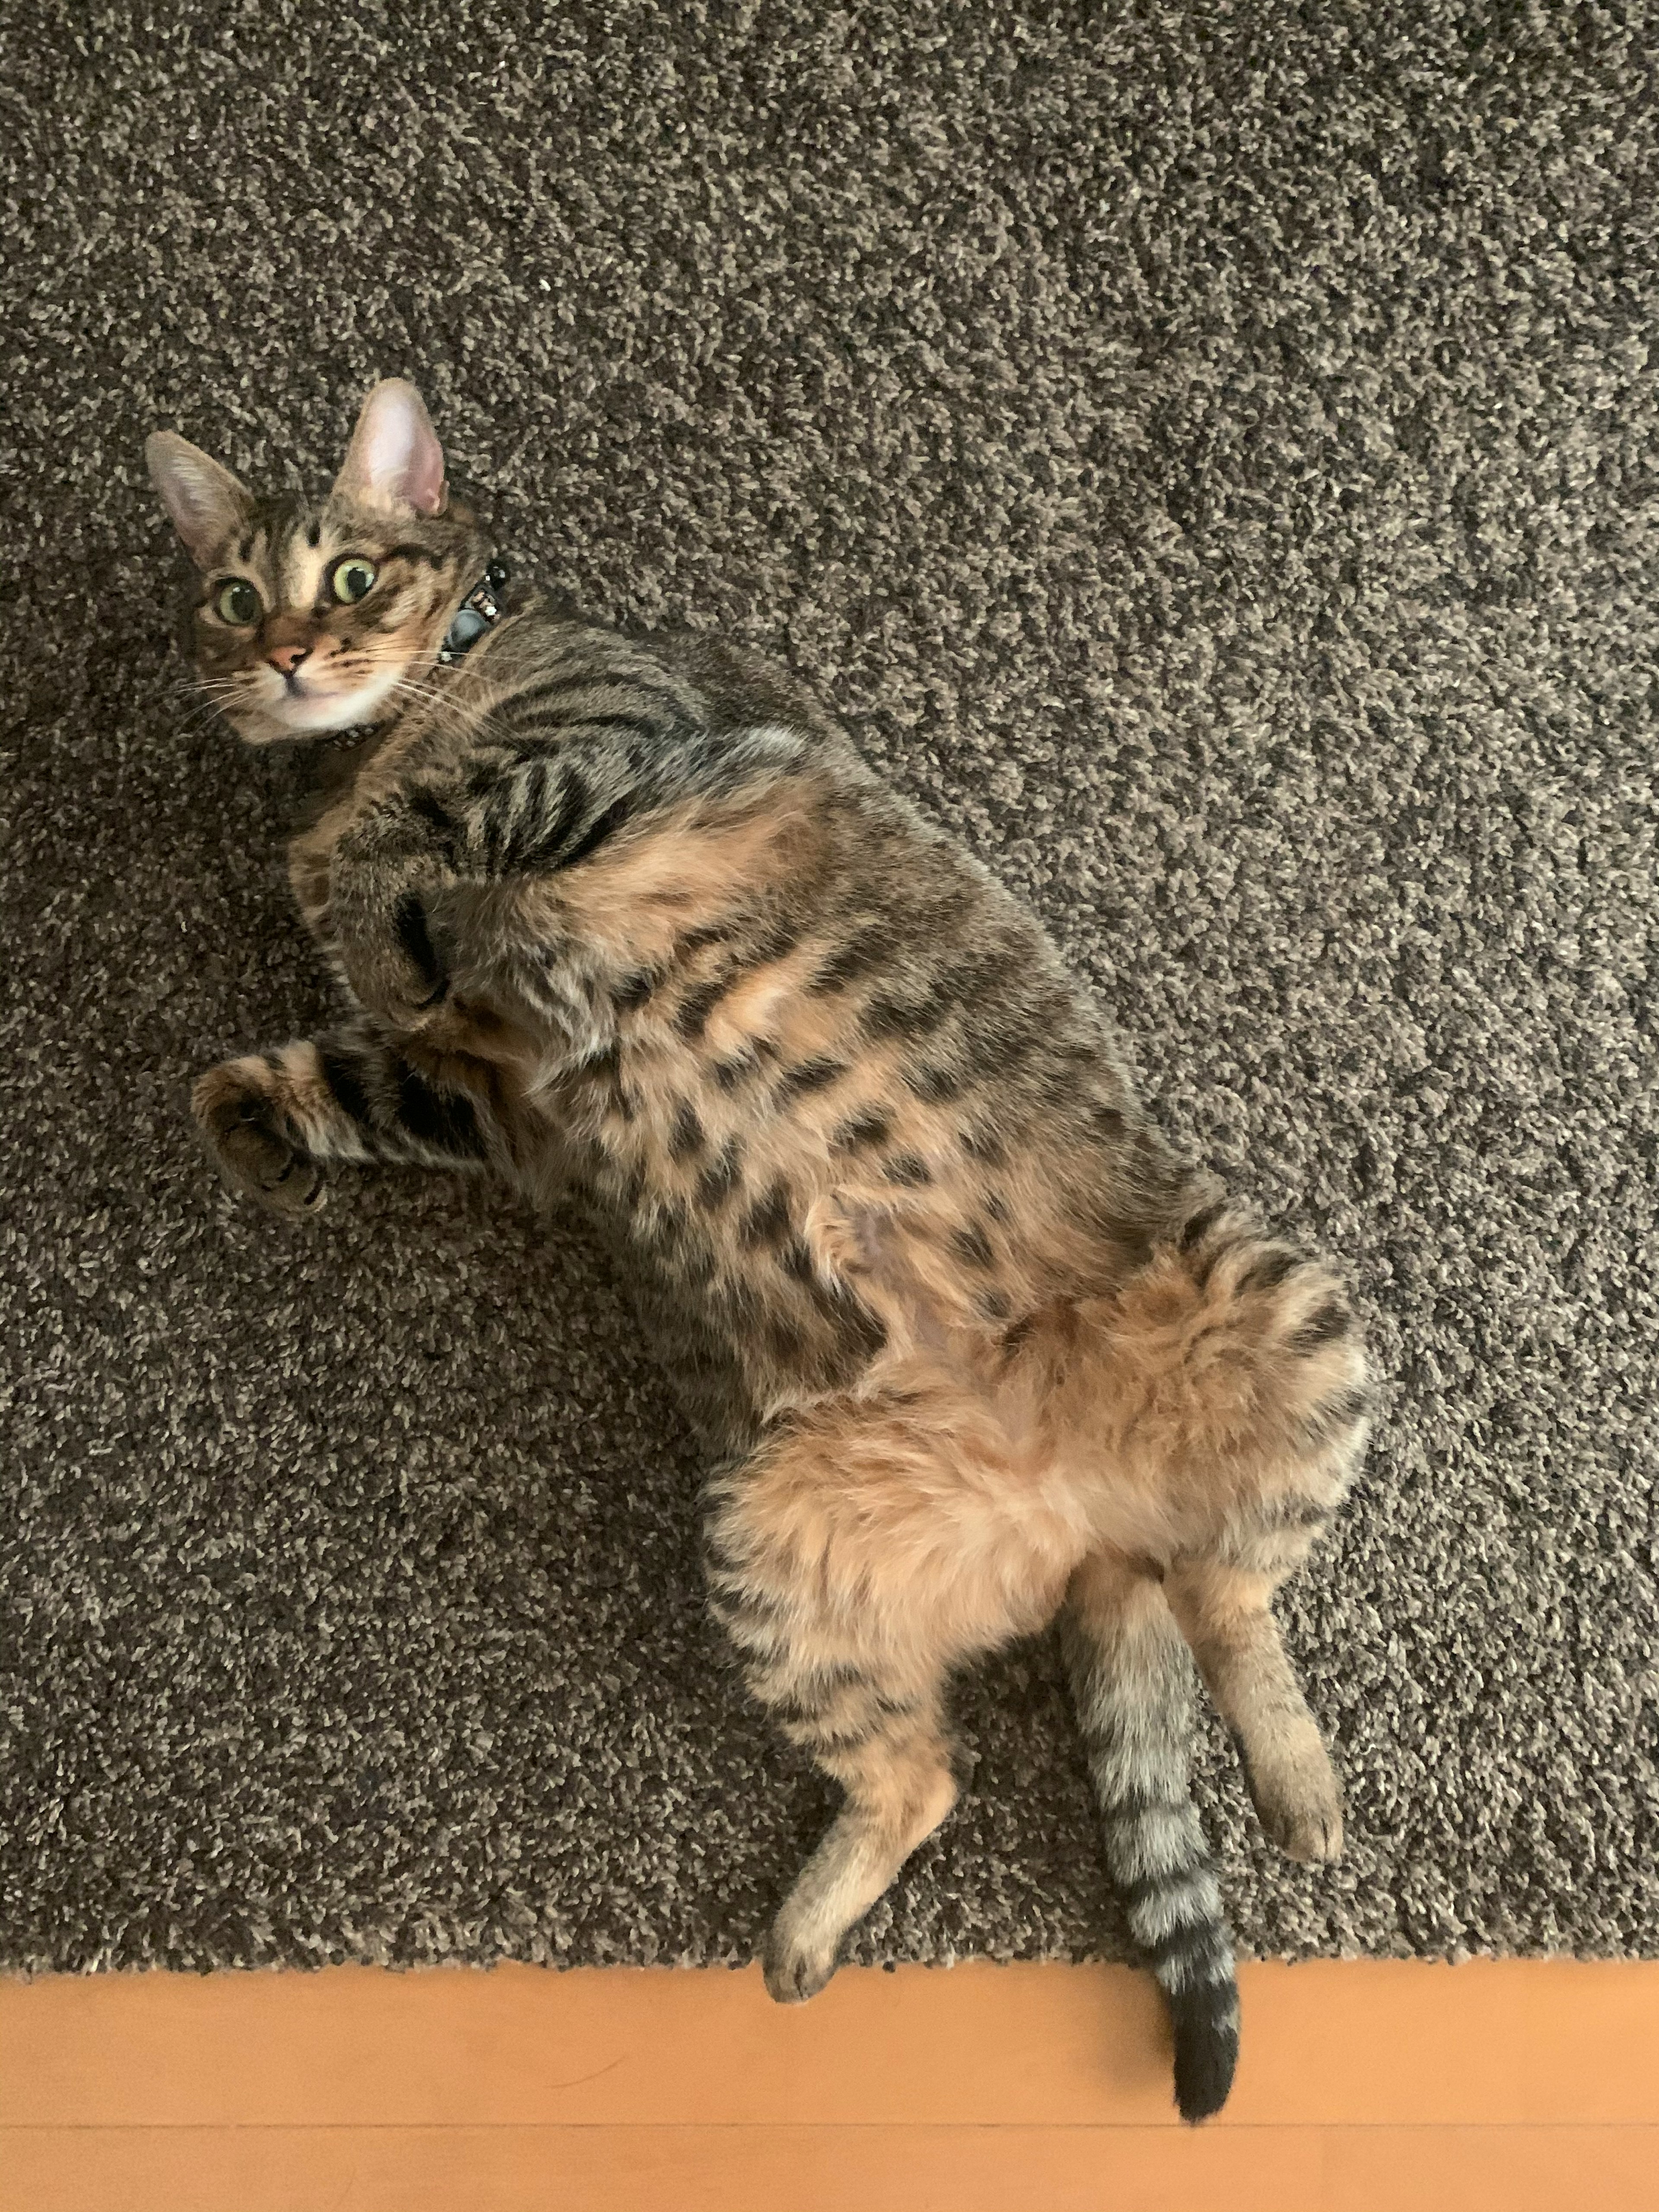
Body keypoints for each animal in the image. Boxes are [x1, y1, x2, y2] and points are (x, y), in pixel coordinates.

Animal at [149, 380, 1371, 2123]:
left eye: (351, 576)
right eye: (236, 595)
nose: (289, 657)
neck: (408, 709)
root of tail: (1081, 1521)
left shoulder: (631, 751)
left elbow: (433, 844)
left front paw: (375, 892)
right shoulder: (490, 1093)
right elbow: (312, 1070)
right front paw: (253, 1122)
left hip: (1283, 1303)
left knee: (1234, 1589)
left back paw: (1298, 1784)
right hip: (772, 1555)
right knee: (927, 1771)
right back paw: (802, 1933)